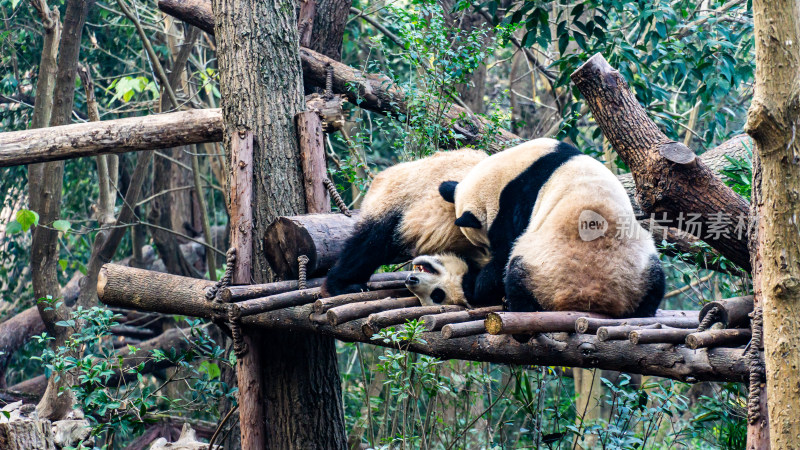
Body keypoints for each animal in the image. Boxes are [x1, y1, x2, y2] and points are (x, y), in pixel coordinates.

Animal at [438, 137, 664, 316]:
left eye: (484, 245)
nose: (484, 255)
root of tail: (593, 299)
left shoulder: (517, 202)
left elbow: (504, 252)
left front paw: (479, 285)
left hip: (542, 267)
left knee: (517, 276)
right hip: (641, 268)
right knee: (655, 285)